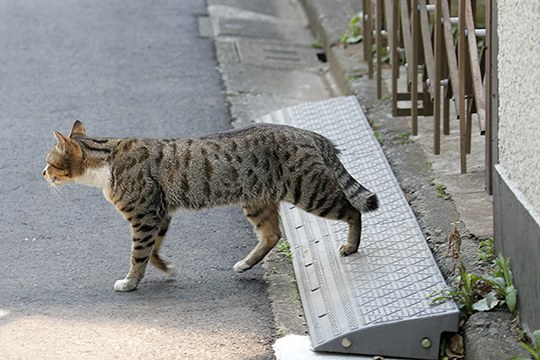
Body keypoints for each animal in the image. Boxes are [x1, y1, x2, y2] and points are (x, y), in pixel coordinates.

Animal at [43, 122, 380, 292]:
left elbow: (138, 254)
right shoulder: (159, 215)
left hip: (310, 191)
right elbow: (153, 250)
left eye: (49, 161)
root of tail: (308, 132)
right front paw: (165, 268)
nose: (42, 173)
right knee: (272, 234)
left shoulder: (145, 216)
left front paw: (130, 282)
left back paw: (351, 246)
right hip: (256, 201)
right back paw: (245, 264)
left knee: (353, 211)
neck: (106, 159)